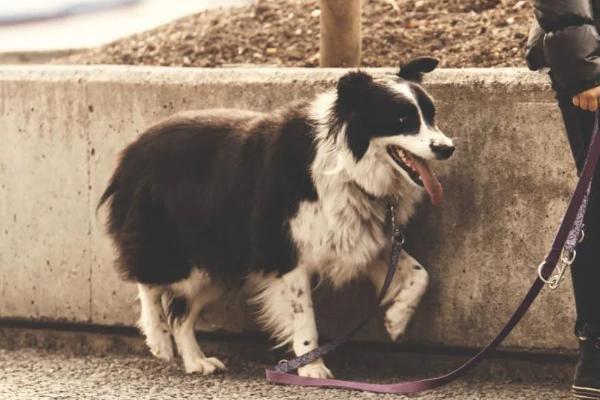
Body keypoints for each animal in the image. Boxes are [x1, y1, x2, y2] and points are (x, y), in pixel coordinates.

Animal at [98, 57, 454, 378]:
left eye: (431, 116)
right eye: (402, 119)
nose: (447, 148)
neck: (347, 166)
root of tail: (132, 151)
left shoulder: (360, 238)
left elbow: (421, 275)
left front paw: (396, 320)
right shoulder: (287, 251)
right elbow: (305, 316)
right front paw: (312, 369)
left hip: (220, 260)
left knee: (181, 314)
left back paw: (196, 361)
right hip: (175, 245)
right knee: (148, 280)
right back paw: (158, 340)